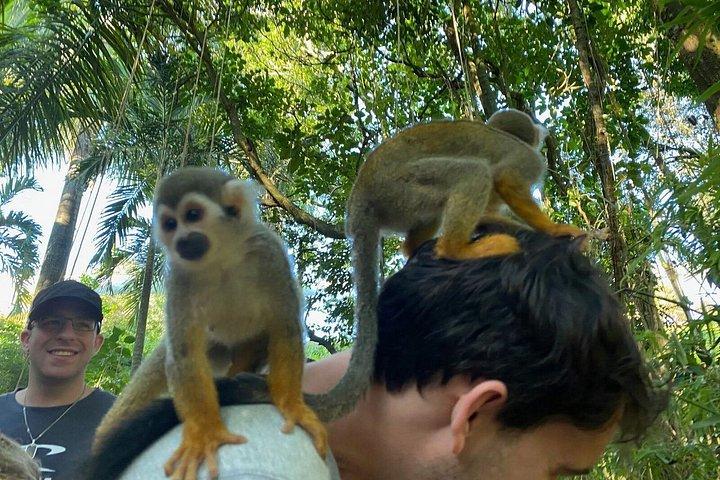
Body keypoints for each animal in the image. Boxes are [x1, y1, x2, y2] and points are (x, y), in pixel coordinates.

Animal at [93, 168, 327, 480]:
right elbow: (184, 354)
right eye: (170, 224)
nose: (181, 238)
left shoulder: (268, 253)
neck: (222, 258)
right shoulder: (179, 277)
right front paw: (205, 432)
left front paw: (292, 406)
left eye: (192, 215)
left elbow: (284, 328)